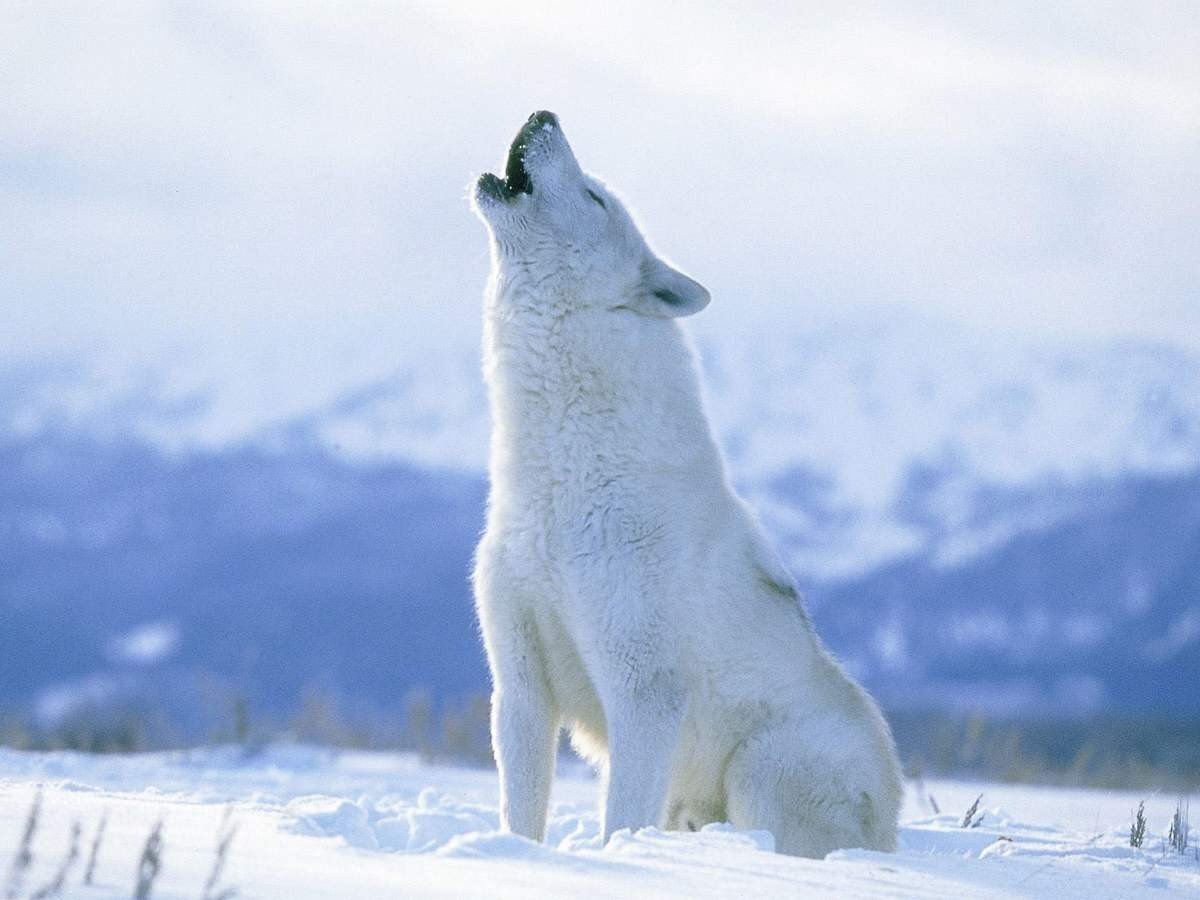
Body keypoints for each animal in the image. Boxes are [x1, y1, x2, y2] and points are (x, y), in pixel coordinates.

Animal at [470, 111, 902, 857]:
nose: (543, 114)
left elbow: (619, 817)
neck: (561, 485)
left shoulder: (643, 693)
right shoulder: (519, 686)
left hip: (761, 769)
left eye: (594, 199)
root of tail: (895, 823)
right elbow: (520, 815)